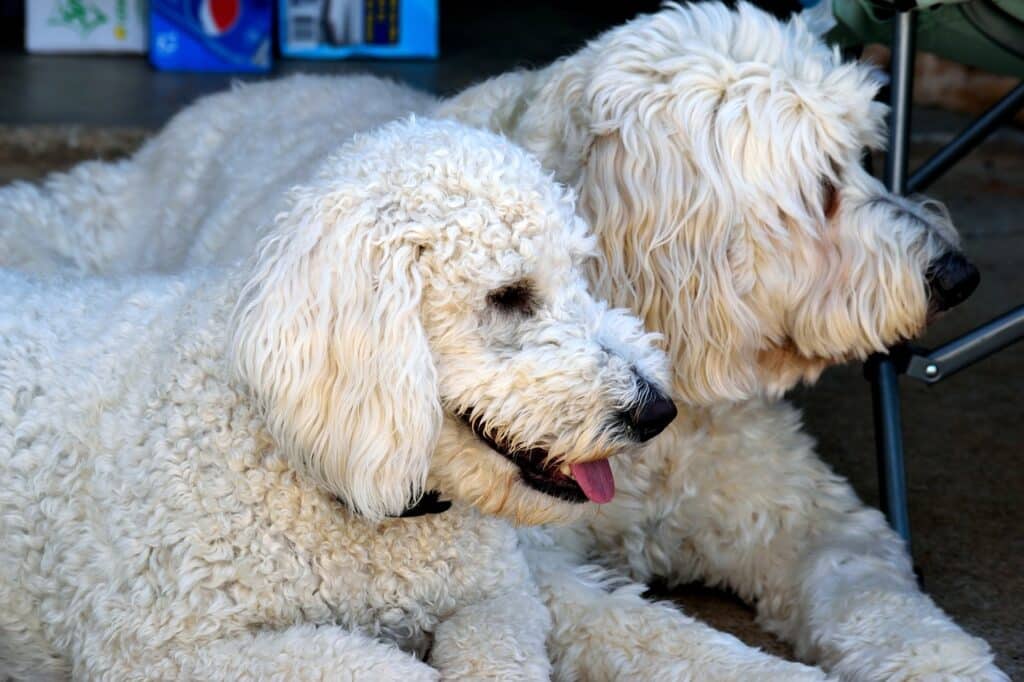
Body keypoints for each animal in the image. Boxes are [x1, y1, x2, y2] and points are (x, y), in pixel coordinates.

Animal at [0, 119, 679, 675]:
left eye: (580, 277)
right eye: (509, 295)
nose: (657, 411)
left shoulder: (496, 595)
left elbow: (501, 645)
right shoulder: (160, 649)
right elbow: (376, 664)